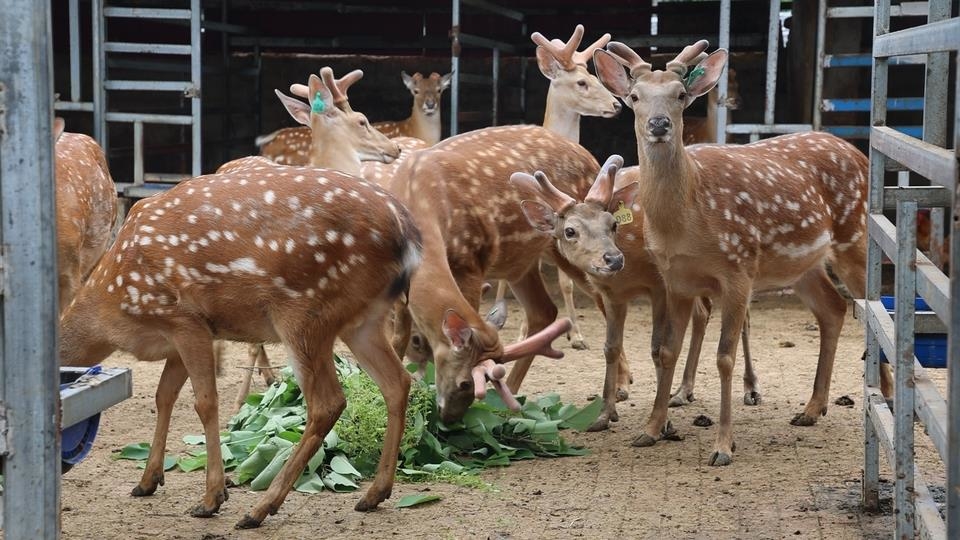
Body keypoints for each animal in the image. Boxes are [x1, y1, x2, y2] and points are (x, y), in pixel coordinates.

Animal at [388, 124, 604, 420]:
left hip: (575, 254)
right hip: (523, 260)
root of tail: (591, 158)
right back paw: (508, 404)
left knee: (606, 299)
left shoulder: (470, 262)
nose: (450, 418)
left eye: (470, 383)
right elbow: (397, 339)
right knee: (544, 310)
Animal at [592, 41, 884, 464]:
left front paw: (723, 446)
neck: (685, 221)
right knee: (833, 308)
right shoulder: (675, 280)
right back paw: (812, 409)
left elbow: (724, 357)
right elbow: (667, 350)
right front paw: (651, 429)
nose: (659, 124)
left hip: (854, 237)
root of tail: (857, 152)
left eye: (680, 95)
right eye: (634, 97)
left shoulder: (737, 269)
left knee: (877, 311)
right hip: (802, 265)